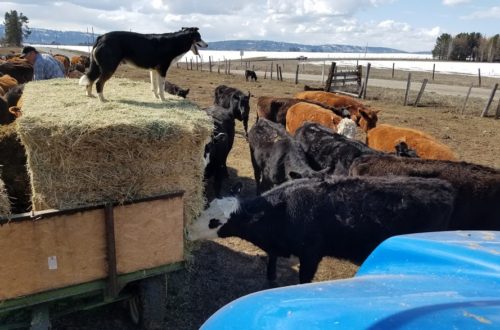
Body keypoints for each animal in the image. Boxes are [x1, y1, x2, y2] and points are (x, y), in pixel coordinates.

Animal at [79, 27, 207, 102]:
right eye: (199, 37)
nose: (207, 45)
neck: (174, 42)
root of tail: (101, 37)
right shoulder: (162, 70)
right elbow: (161, 88)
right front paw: (163, 99)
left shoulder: (154, 70)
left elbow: (154, 86)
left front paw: (156, 98)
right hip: (109, 68)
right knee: (98, 83)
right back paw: (102, 99)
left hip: (98, 67)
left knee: (90, 81)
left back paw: (89, 95)